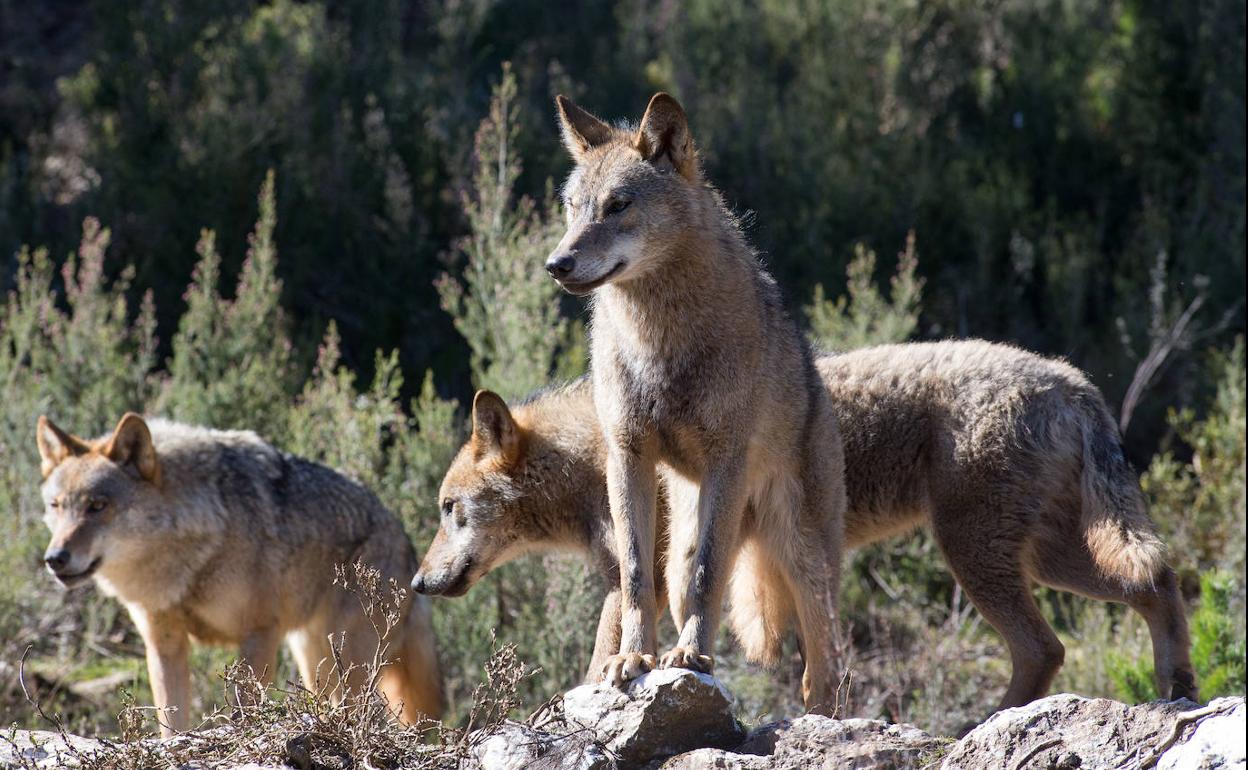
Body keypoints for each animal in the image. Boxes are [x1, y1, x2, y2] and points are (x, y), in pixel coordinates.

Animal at [36, 411, 444, 733]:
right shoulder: (164, 644)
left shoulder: (259, 634)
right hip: (316, 663)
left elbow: (243, 712)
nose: (55, 558)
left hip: (348, 667)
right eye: (56, 506)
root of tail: (407, 542)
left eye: (97, 506)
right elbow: (171, 723)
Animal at [414, 339, 1193, 713]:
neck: (593, 455)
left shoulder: (641, 582)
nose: (419, 583)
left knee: (1047, 645)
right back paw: (1177, 689)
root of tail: (1072, 380)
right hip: (1048, 560)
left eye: (449, 511)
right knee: (1155, 584)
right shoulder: (637, 582)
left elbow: (603, 659)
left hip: (981, 558)